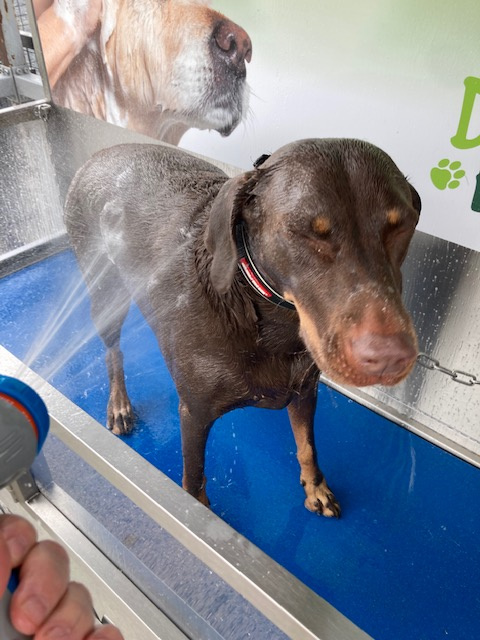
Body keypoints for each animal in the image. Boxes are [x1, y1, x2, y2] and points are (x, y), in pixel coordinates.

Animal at [64, 139, 421, 516]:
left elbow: (307, 446)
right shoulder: (194, 413)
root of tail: (99, 155)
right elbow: (194, 480)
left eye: (403, 225)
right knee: (112, 351)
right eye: (303, 231)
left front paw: (316, 488)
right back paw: (119, 404)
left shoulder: (304, 389)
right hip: (106, 293)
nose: (390, 358)